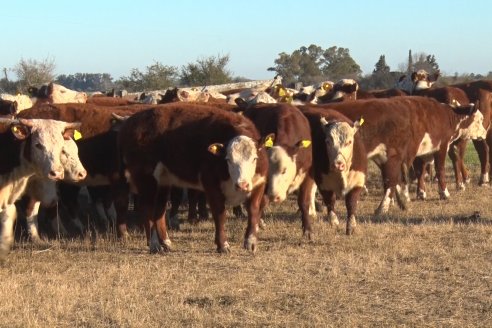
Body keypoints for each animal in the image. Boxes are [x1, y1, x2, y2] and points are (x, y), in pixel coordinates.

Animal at [117, 104, 268, 252]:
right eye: (228, 159)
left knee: (159, 210)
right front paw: (223, 245)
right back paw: (154, 244)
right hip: (146, 179)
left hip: (162, 182)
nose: (242, 185)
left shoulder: (258, 183)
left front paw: (251, 242)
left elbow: (253, 210)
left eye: (255, 158)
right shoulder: (211, 185)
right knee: (147, 209)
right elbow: (219, 214)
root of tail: (129, 123)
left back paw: (166, 242)